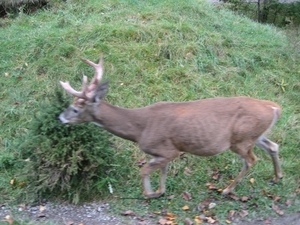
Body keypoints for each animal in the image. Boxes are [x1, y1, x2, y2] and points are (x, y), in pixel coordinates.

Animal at [59, 54, 284, 199]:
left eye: (76, 109)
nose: (61, 117)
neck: (139, 129)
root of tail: (274, 107)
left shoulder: (168, 149)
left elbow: (145, 170)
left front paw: (149, 193)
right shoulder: (163, 152)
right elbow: (162, 171)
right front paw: (160, 191)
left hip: (241, 138)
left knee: (251, 160)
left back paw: (228, 190)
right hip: (254, 135)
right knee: (273, 146)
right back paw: (276, 177)